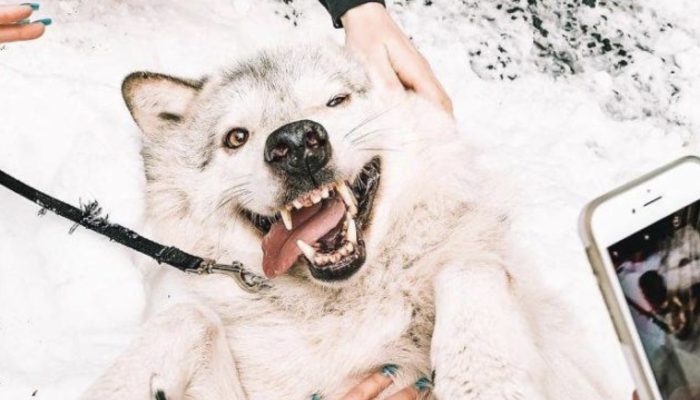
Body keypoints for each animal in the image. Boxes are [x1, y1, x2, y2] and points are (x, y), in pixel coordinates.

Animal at [83, 41, 625, 399]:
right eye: (236, 138)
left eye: (336, 101)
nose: (295, 143)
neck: (345, 309)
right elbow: (189, 318)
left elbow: (469, 267)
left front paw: (484, 380)